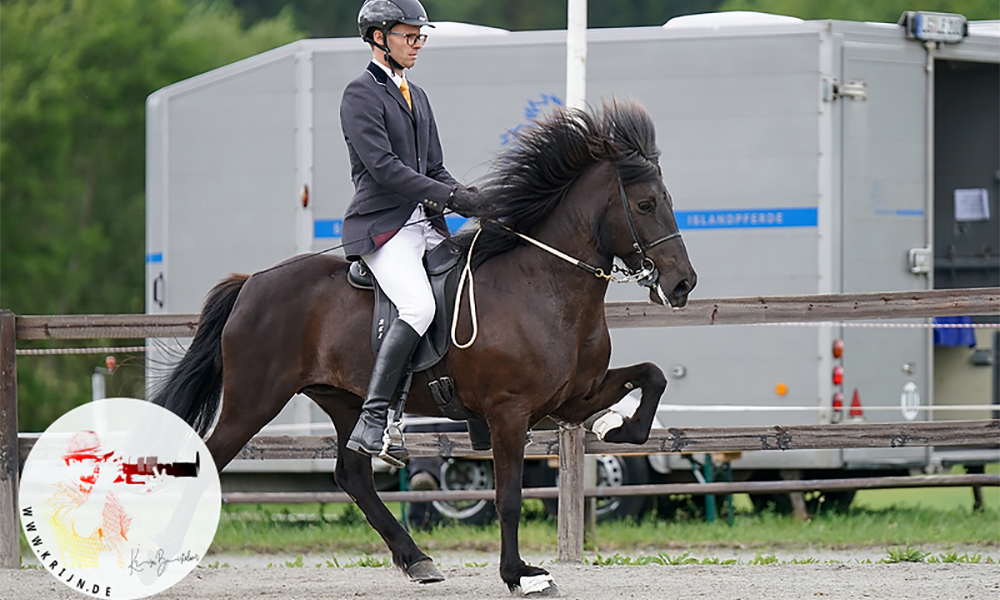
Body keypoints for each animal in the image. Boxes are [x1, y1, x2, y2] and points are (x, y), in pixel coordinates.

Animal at [152, 99, 696, 596]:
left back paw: (417, 560)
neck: (544, 284)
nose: (683, 283)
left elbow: (651, 377)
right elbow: (508, 497)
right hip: (254, 400)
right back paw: (165, 563)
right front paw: (519, 575)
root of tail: (252, 283)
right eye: (646, 205)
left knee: (353, 474)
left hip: (345, 400)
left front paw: (616, 427)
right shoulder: (509, 412)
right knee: (212, 458)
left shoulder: (572, 397)